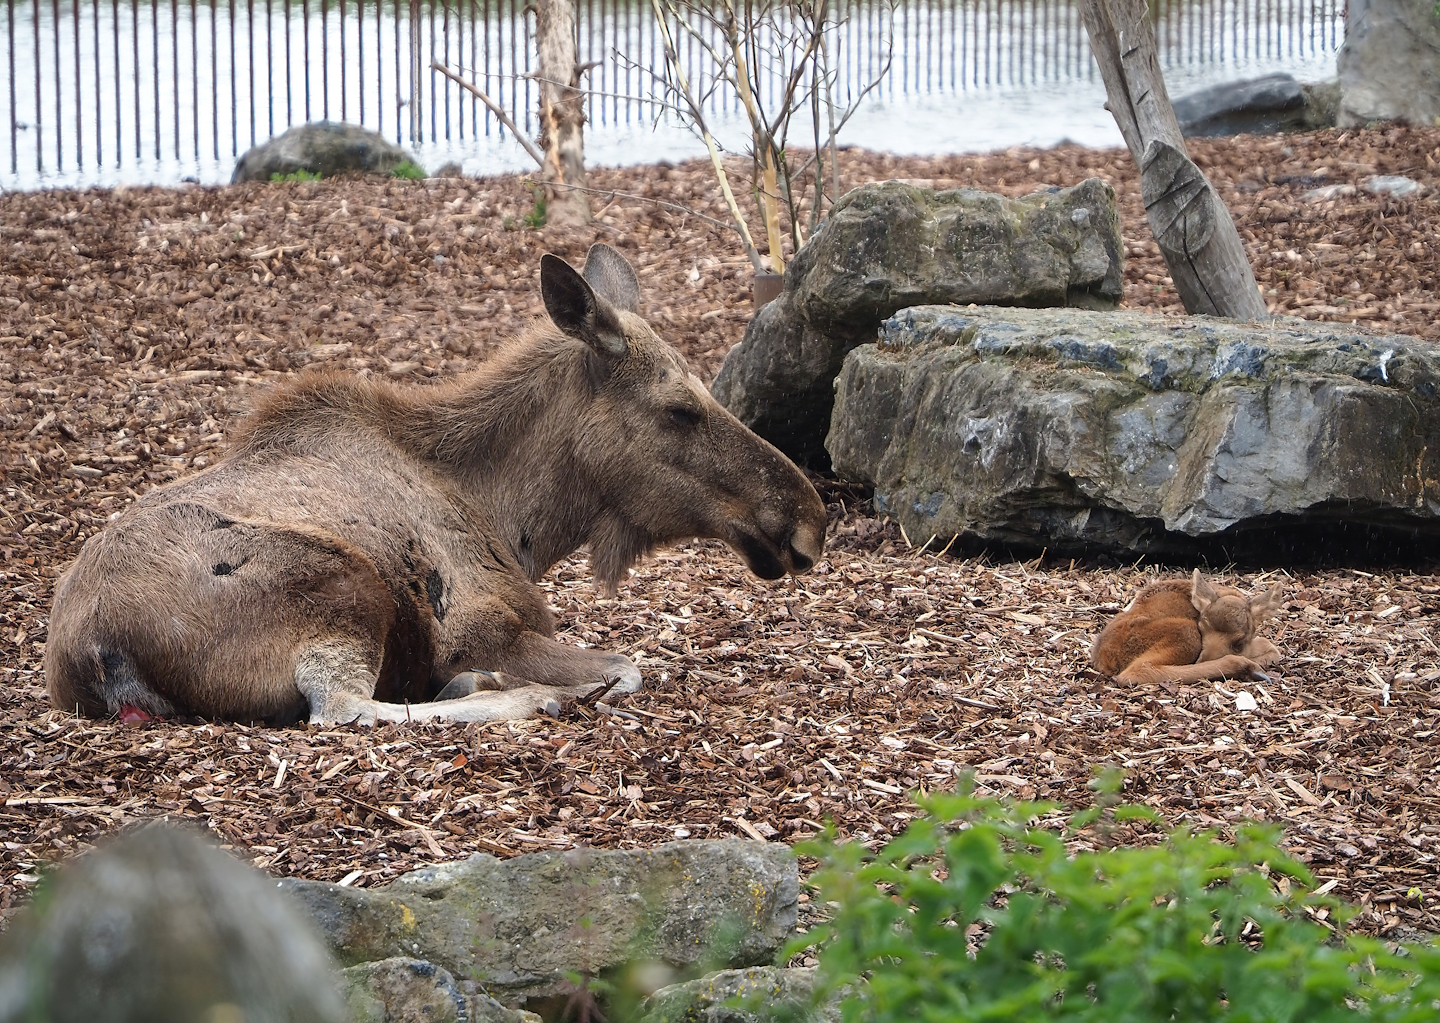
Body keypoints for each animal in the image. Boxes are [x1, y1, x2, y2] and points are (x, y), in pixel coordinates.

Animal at [45, 243, 828, 726]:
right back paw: (522, 698)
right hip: (342, 586)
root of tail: (93, 648)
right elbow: (628, 665)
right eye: (679, 407)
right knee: (344, 709)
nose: (809, 519)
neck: (518, 521)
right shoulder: (486, 629)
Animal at [1090, 570, 1284, 685]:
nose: (1202, 659)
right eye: (1202, 629)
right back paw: (1248, 669)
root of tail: (1103, 658)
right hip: (1185, 632)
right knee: (1136, 671)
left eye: (1239, 643)